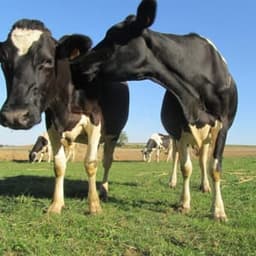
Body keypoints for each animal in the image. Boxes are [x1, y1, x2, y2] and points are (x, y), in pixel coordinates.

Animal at [0, 18, 129, 214]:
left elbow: (91, 163)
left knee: (107, 161)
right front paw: (56, 204)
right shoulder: (52, 124)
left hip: (112, 134)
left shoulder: (95, 121)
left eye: (47, 60)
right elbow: (59, 164)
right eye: (4, 60)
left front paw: (94, 205)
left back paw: (103, 190)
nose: (15, 116)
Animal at [69, 0, 238, 220]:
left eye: (113, 36)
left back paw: (205, 186)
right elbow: (186, 167)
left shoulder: (223, 125)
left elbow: (215, 168)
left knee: (203, 159)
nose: (76, 64)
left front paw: (218, 210)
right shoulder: (182, 127)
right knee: (180, 159)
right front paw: (184, 203)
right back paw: (175, 183)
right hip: (176, 136)